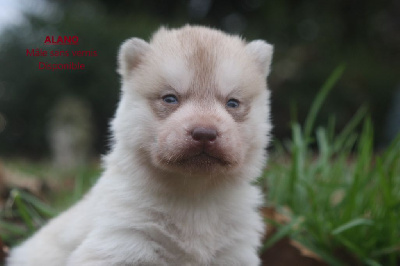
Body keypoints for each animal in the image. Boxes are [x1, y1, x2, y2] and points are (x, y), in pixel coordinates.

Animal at [7, 24, 274, 264]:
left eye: (233, 103)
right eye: (170, 98)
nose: (205, 133)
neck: (194, 197)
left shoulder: (235, 251)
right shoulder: (121, 241)